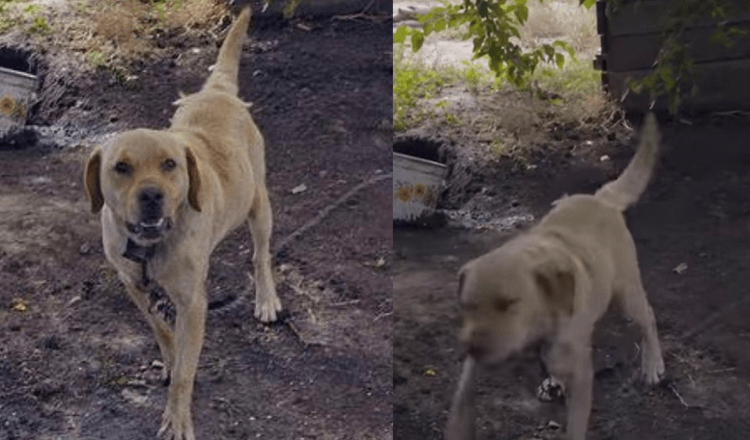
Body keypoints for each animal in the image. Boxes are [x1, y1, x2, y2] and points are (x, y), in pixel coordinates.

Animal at [83, 7, 282, 440]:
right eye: (121, 167)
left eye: (169, 164)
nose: (151, 195)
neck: (151, 246)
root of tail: (218, 91)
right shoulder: (134, 286)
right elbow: (162, 330)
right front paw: (171, 355)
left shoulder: (192, 304)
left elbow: (184, 375)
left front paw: (177, 418)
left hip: (258, 205)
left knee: (261, 257)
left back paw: (266, 298)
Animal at [446, 114, 664, 440]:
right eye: (467, 306)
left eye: (508, 304)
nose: (473, 348)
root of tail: (599, 199)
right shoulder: (472, 370)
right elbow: (461, 406)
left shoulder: (582, 377)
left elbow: (575, 426)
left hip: (627, 294)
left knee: (648, 317)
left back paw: (653, 364)